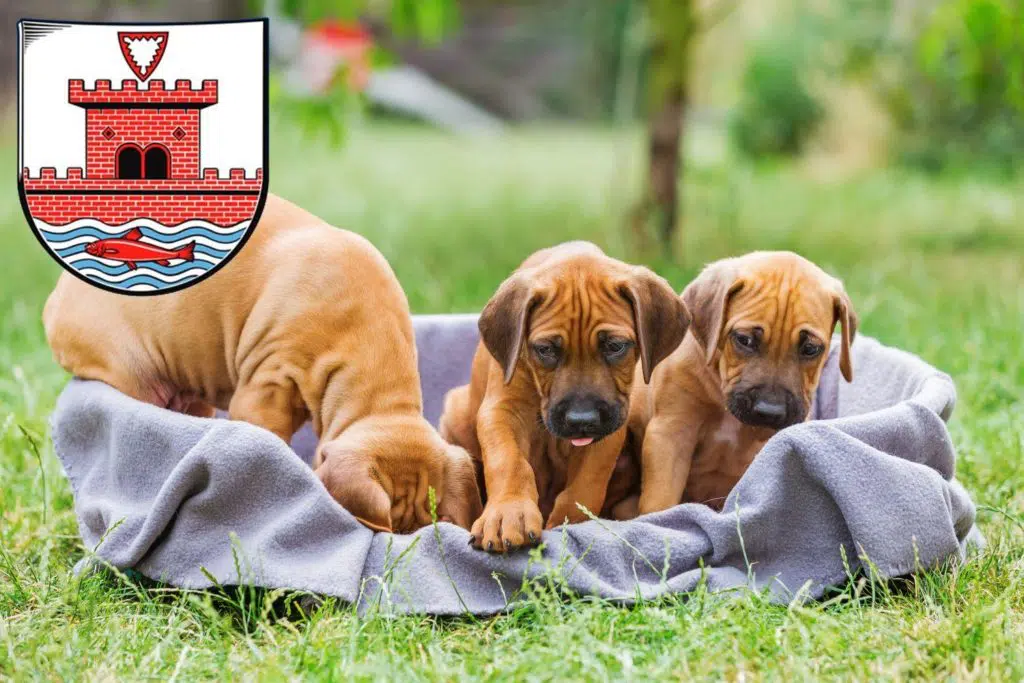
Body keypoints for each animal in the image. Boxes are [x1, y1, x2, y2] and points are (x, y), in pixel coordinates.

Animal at [438, 240, 688, 548]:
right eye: (545, 350)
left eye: (615, 346)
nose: (582, 420)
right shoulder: (503, 410)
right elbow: (509, 462)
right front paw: (508, 513)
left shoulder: (610, 426)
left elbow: (587, 482)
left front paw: (569, 523)